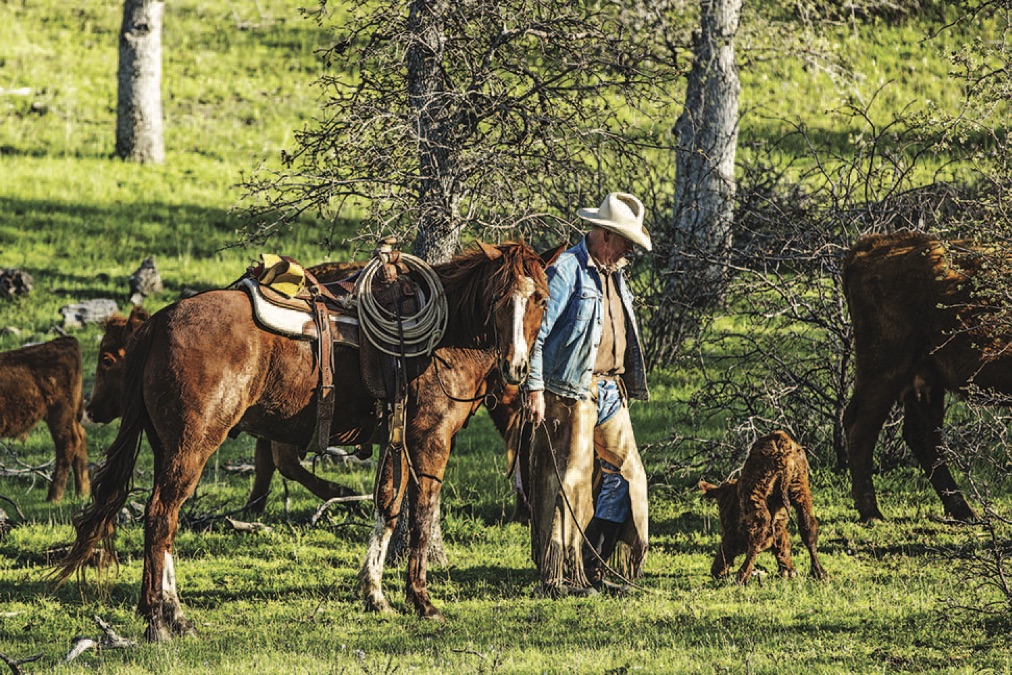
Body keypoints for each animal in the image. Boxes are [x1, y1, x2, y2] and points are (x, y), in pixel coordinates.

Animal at [0, 338, 88, 501]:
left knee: (67, 444)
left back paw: (53, 498)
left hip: (59, 413)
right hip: (69, 416)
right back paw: (82, 494)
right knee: (80, 437)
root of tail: (65, 341)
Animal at [57, 241, 554, 639]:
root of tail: (161, 320)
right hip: (192, 445)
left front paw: (374, 594)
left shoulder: (395, 439)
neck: (445, 339)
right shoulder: (430, 438)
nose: (516, 366)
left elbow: (388, 507)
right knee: (162, 516)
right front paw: (422, 601)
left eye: (540, 299)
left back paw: (170, 614)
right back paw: (160, 620)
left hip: (167, 446)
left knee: (165, 520)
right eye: (497, 297)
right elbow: (421, 514)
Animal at [700, 433, 825, 586]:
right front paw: (788, 571)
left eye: (725, 520)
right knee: (808, 526)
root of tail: (782, 442)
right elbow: (782, 542)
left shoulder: (730, 530)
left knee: (759, 532)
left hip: (755, 492)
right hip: (800, 488)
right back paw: (819, 573)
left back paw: (742, 577)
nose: (716, 571)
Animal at [837, 230, 1011, 522]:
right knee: (861, 427)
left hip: (924, 379)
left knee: (924, 437)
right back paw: (871, 511)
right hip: (884, 369)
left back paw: (963, 510)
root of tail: (872, 245)